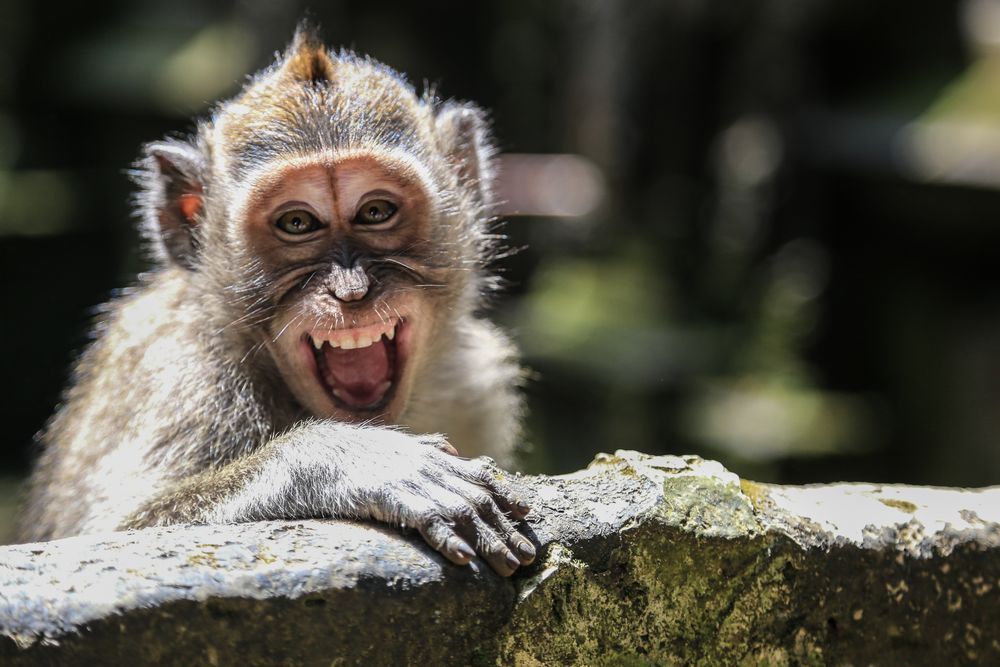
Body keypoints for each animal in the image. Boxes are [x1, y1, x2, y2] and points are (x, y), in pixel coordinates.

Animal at [15, 26, 536, 577]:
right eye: (297, 222)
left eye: (375, 211)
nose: (351, 290)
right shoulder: (186, 378)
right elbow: (120, 532)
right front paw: (354, 459)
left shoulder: (474, 387)